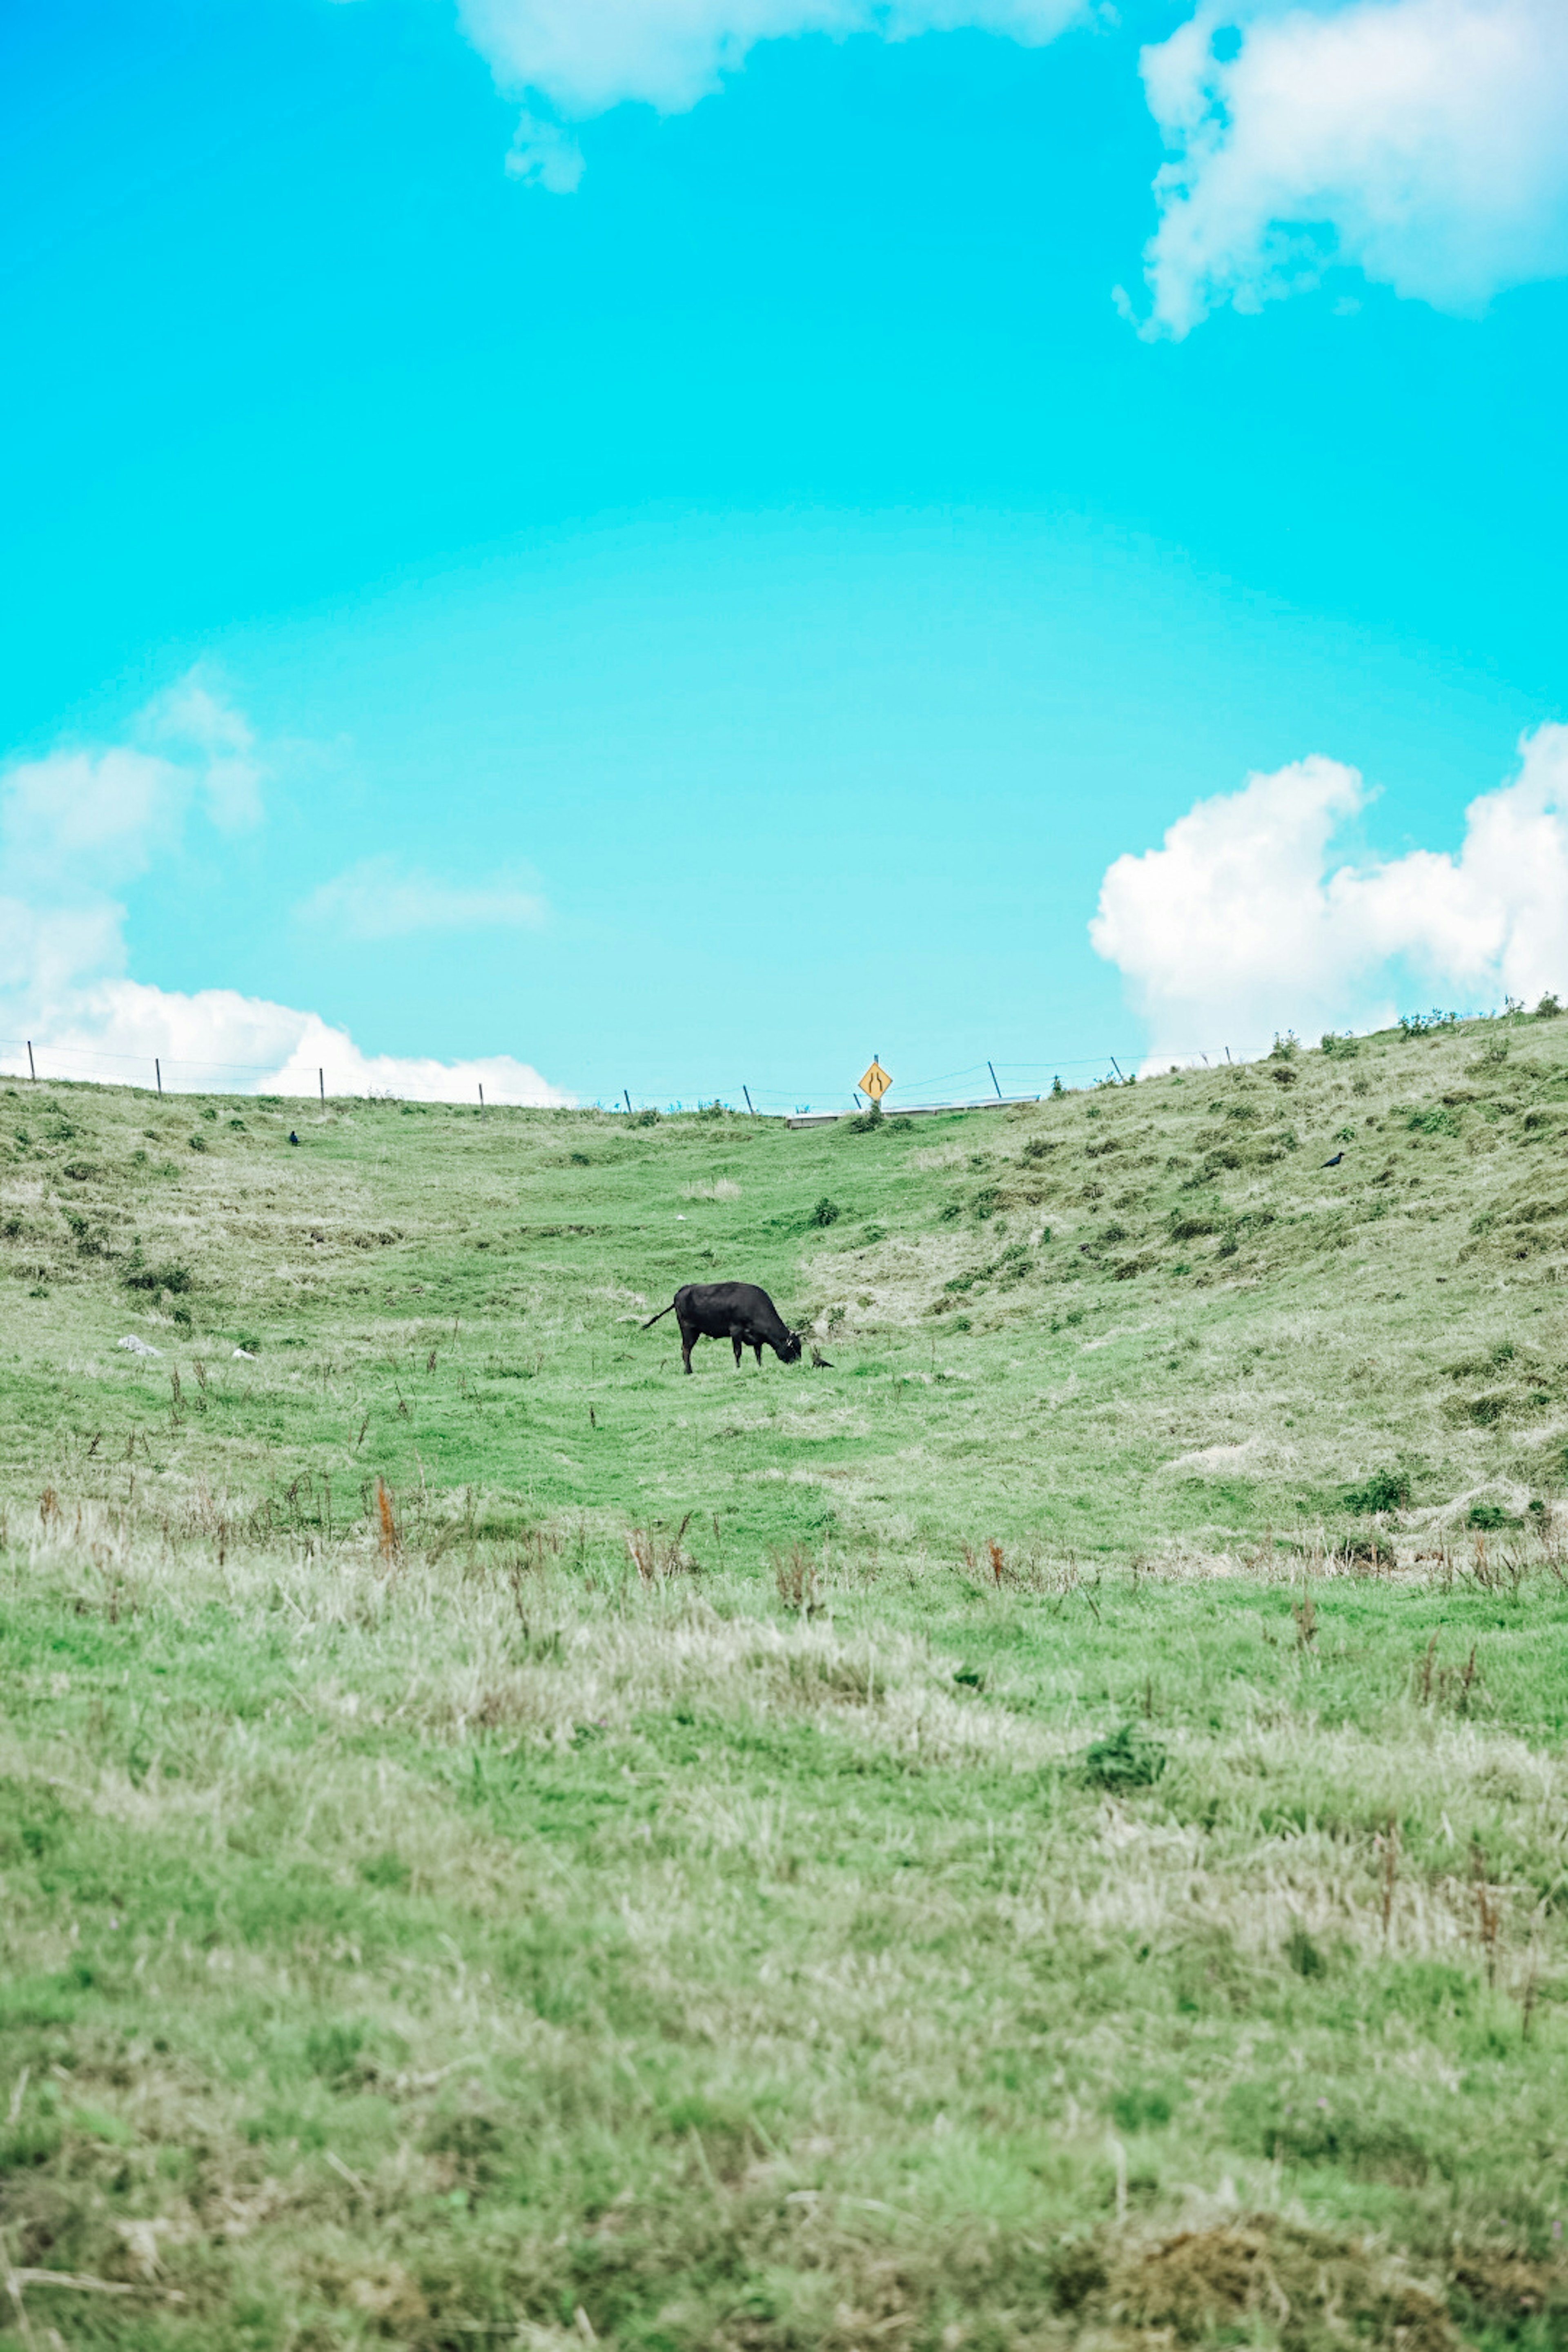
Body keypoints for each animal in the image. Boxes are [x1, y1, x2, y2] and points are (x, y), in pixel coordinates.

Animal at [644, 1289, 804, 1373]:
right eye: (795, 1348)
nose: (798, 1363)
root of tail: (681, 1292)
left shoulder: (756, 1338)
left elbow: (758, 1353)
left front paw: (760, 1367)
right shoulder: (736, 1330)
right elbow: (738, 1352)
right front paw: (738, 1369)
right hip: (688, 1329)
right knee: (686, 1349)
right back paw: (689, 1371)